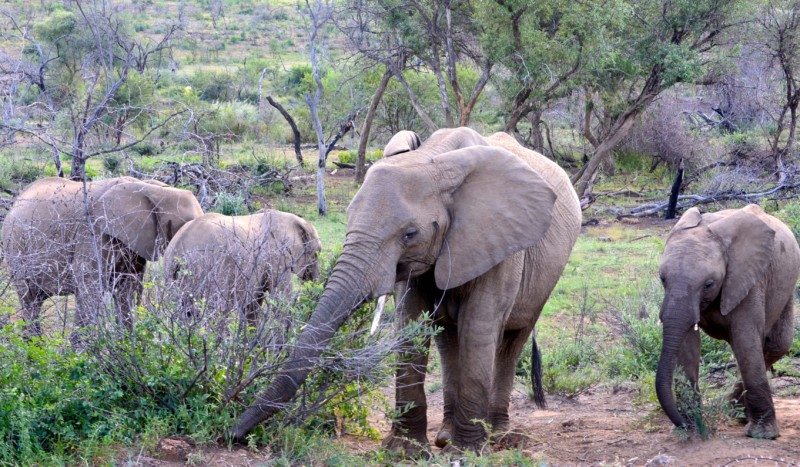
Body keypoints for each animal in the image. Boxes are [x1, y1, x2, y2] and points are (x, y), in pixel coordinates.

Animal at [1, 176, 203, 339]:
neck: (151, 188)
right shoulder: (93, 233)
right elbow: (89, 286)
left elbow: (126, 289)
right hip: (15, 248)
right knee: (30, 299)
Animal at [163, 210, 321, 321]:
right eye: (316, 254)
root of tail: (177, 248)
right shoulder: (277, 257)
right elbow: (281, 300)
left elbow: (252, 306)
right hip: (208, 270)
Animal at [230, 127, 582, 454]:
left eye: (410, 234)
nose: (233, 435)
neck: (435, 160)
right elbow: (411, 323)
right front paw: (405, 451)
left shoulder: (499, 241)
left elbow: (479, 327)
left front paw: (466, 452)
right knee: (447, 339)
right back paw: (444, 437)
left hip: (547, 274)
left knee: (511, 341)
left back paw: (497, 437)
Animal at [656, 204, 800, 440]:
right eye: (662, 279)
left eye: (709, 284)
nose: (682, 425)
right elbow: (687, 343)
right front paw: (693, 428)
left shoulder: (749, 280)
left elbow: (745, 340)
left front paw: (762, 435)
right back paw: (735, 413)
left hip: (786, 284)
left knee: (776, 344)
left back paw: (738, 414)